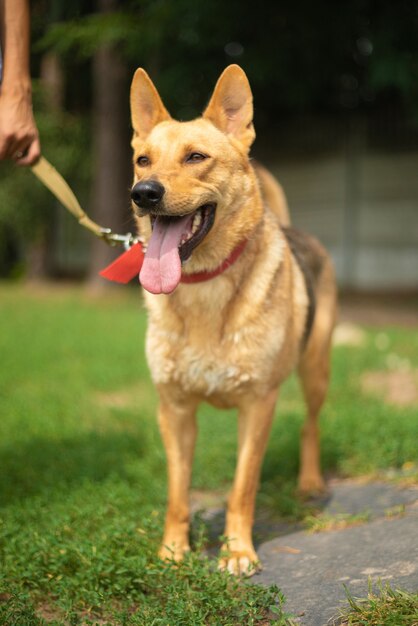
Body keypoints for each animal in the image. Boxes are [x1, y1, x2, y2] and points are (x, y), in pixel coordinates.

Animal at [127, 66, 336, 572]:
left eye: (196, 157)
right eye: (143, 160)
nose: (144, 193)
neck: (204, 286)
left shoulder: (258, 405)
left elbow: (242, 488)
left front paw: (238, 551)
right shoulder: (175, 409)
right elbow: (178, 492)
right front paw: (172, 550)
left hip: (315, 369)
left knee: (310, 425)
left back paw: (309, 481)